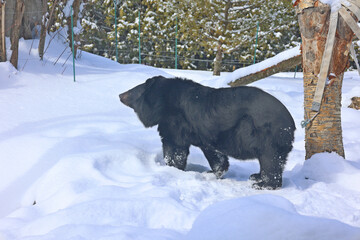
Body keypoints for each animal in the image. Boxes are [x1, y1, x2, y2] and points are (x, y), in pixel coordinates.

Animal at [119, 75, 294, 189]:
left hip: (266, 136)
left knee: (270, 161)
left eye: (133, 91)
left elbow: (175, 147)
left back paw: (263, 184)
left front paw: (172, 168)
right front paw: (214, 172)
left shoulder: (176, 123)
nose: (120, 94)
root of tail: (290, 123)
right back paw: (256, 176)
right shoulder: (205, 134)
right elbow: (214, 154)